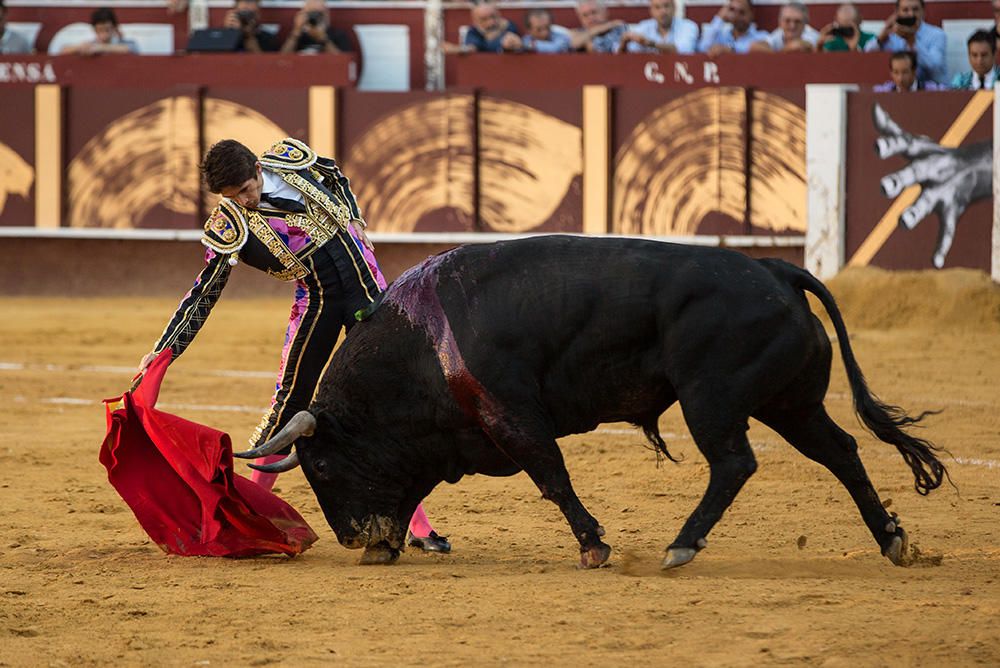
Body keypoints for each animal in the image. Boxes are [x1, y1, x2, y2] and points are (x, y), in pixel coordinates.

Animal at [234, 235, 944, 568]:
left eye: (323, 467)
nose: (355, 539)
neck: (422, 342)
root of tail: (776, 269)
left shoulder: (510, 417)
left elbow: (551, 476)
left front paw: (594, 546)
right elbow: (414, 488)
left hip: (711, 398)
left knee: (735, 463)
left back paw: (681, 546)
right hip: (790, 403)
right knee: (841, 451)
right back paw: (892, 541)